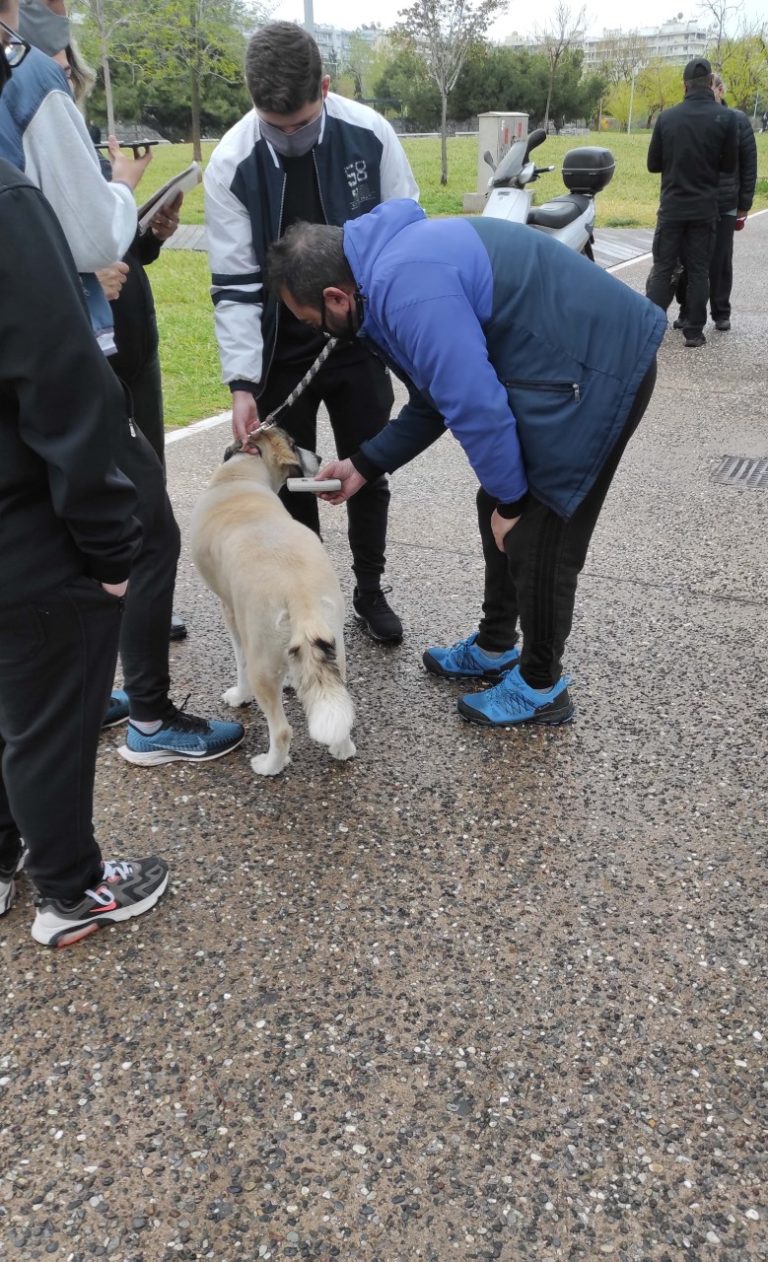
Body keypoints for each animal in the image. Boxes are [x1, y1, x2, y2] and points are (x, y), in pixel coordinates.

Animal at [191, 429, 358, 772]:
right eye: (294, 443)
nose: (319, 458)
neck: (242, 476)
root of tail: (300, 596)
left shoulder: (231, 612)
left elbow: (239, 662)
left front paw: (238, 696)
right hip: (336, 647)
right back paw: (342, 749)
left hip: (262, 662)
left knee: (281, 730)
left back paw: (269, 766)